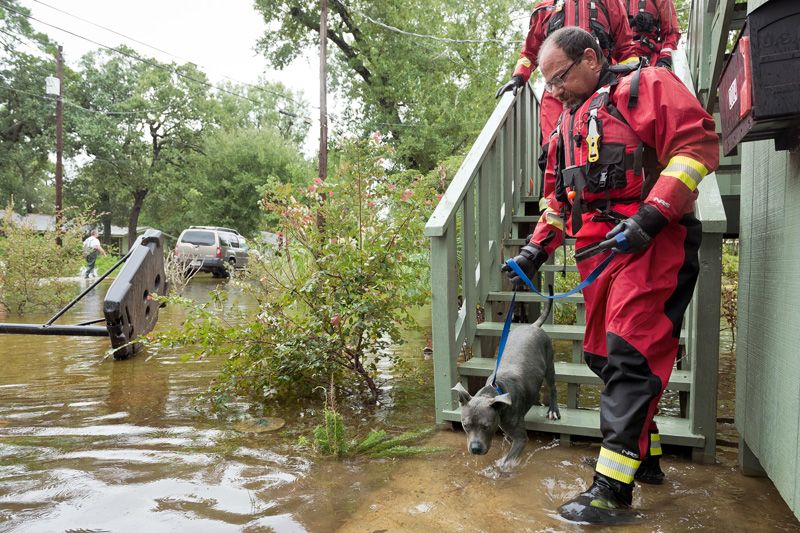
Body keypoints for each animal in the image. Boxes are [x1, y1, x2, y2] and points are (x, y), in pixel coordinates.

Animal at [454, 296, 560, 466]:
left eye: (486, 426)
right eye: (466, 426)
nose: (475, 448)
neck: (495, 391)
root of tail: (532, 326)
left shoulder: (521, 439)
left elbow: (507, 461)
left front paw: (500, 469)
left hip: (549, 363)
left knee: (553, 387)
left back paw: (553, 410)